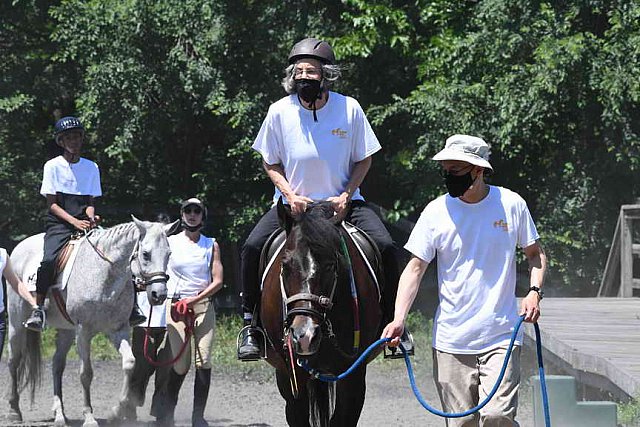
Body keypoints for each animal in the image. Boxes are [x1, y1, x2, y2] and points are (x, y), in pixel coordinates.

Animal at [4, 219, 178, 426]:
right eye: (146, 254)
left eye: (169, 254)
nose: (159, 295)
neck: (104, 274)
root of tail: (20, 247)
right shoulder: (84, 331)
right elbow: (86, 373)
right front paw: (89, 417)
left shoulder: (118, 330)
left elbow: (130, 363)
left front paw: (116, 413)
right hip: (16, 323)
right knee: (14, 361)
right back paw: (14, 411)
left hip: (66, 330)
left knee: (57, 365)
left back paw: (60, 415)